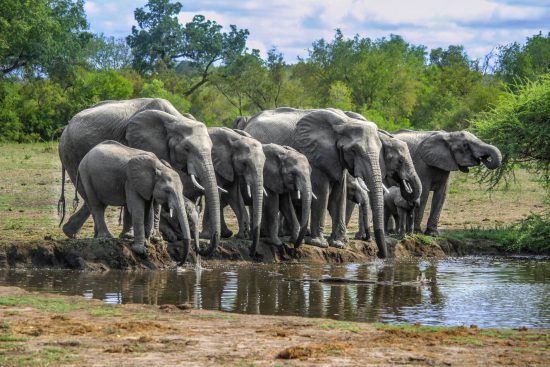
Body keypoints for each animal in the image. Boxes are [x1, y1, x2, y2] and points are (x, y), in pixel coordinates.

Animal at [58, 99, 222, 258]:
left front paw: (144, 238)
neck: (176, 119)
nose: (202, 250)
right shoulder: (144, 144)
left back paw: (77, 233)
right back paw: (93, 235)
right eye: (187, 148)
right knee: (90, 197)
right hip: (71, 153)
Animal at [242, 108, 388, 258]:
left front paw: (338, 244)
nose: (380, 254)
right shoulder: (316, 156)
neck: (345, 122)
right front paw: (320, 244)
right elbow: (322, 193)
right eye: (354, 150)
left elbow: (338, 196)